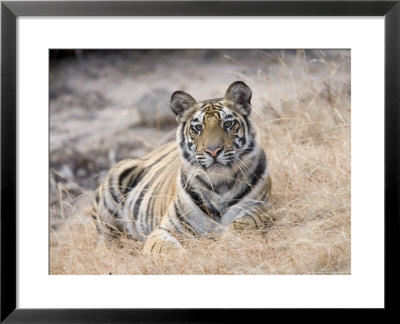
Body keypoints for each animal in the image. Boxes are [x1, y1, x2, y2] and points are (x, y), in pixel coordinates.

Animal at [90, 81, 272, 258]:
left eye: (228, 124)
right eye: (198, 128)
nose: (213, 151)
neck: (219, 182)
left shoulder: (258, 210)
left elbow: (242, 227)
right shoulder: (165, 230)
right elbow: (168, 250)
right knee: (108, 241)